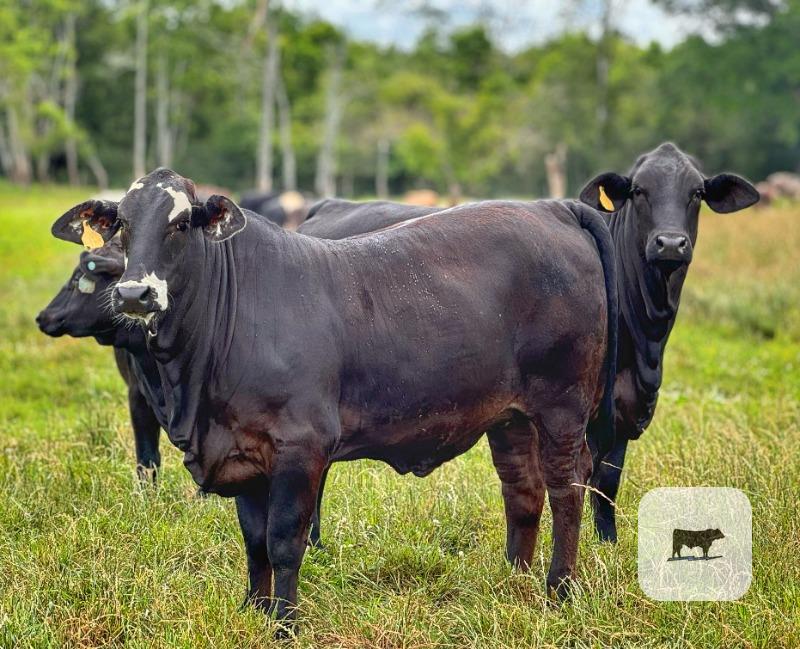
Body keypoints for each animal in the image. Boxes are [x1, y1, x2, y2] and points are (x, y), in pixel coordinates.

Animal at [50, 169, 618, 630]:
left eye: (182, 222)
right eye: (121, 223)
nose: (134, 294)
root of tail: (551, 207)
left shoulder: (300, 449)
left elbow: (283, 541)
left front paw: (284, 623)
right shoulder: (241, 451)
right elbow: (253, 542)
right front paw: (253, 610)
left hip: (562, 407)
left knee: (567, 487)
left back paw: (559, 588)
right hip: (510, 417)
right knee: (522, 489)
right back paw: (513, 580)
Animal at [579, 142, 759, 542]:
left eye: (696, 193)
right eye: (639, 190)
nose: (671, 244)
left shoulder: (625, 406)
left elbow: (607, 478)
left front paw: (607, 540)